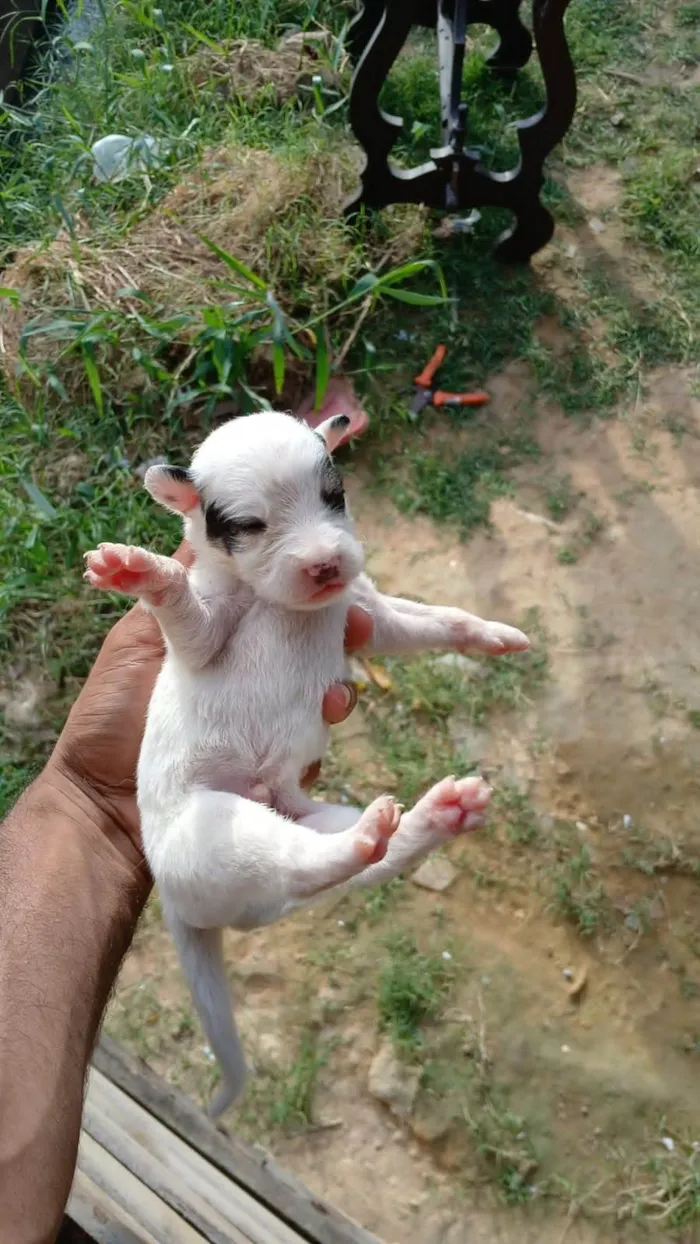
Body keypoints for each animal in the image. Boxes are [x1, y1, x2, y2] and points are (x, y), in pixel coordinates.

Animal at [85, 410, 529, 1119]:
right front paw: (143, 571)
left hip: (310, 817)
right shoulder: (208, 625)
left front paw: (490, 634)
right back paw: (379, 834)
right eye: (249, 525)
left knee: (363, 860)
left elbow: (433, 621)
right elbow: (187, 612)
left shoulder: (368, 611)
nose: (325, 563)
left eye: (335, 494)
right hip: (216, 834)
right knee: (304, 863)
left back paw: (437, 816)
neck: (283, 603)